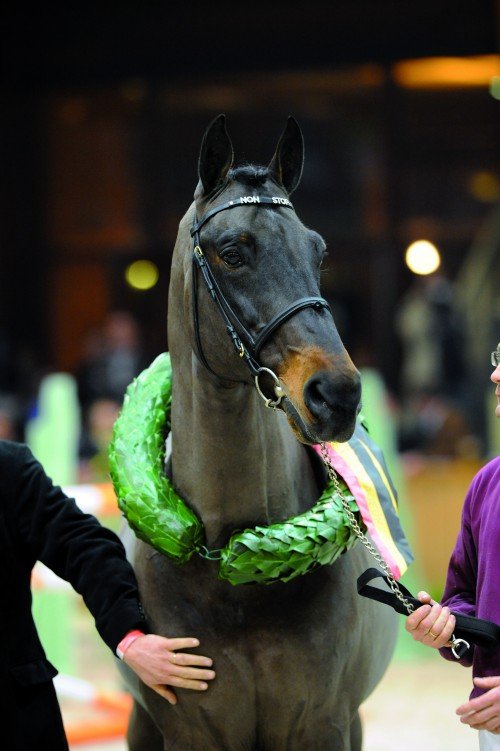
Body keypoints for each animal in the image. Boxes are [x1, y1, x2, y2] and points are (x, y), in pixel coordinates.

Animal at [119, 114, 398, 750]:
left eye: (318, 251)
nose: (337, 394)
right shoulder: (190, 732)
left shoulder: (323, 725)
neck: (229, 568)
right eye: (232, 252)